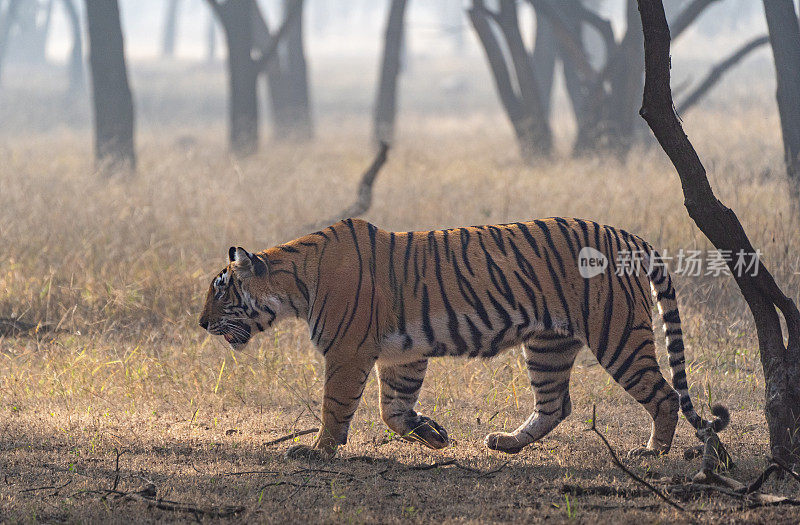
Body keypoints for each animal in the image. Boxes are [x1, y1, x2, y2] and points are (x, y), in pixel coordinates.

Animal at [198, 217, 724, 458]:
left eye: (221, 292)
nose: (201, 323)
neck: (295, 286)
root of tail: (628, 236)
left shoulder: (348, 353)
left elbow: (335, 405)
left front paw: (318, 450)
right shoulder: (402, 354)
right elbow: (392, 410)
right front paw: (432, 434)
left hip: (617, 336)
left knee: (664, 395)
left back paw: (654, 452)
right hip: (548, 345)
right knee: (555, 405)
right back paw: (507, 442)